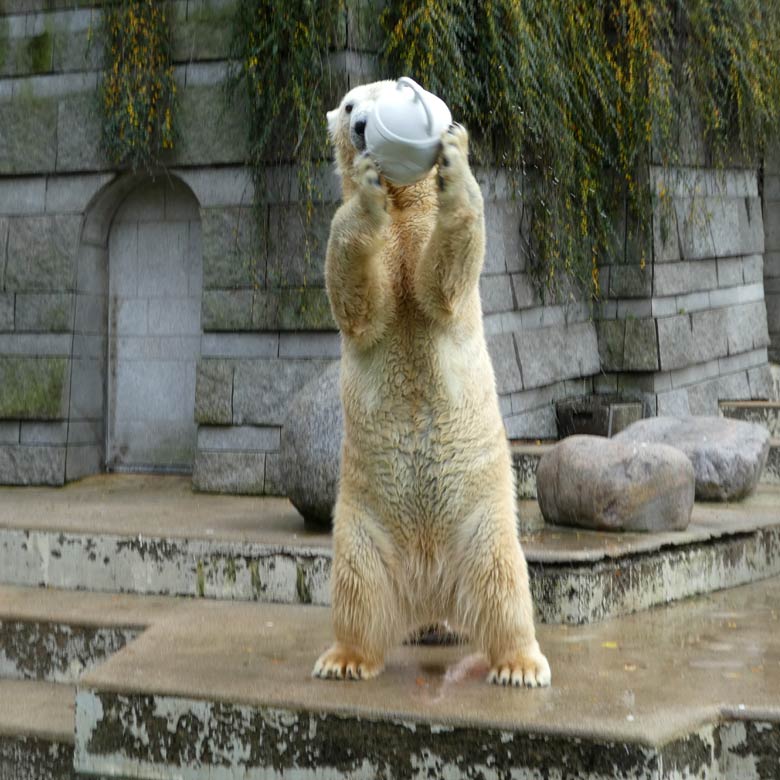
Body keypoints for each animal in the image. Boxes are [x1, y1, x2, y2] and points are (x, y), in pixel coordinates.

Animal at [314, 82, 552, 684]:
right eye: (349, 106)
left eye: (377, 97)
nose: (362, 127)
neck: (404, 203)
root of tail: (429, 585)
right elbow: (361, 300)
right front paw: (366, 189)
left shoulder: (425, 235)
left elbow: (438, 284)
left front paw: (455, 155)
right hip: (362, 525)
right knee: (357, 589)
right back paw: (346, 657)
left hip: (483, 523)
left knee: (503, 586)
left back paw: (518, 662)